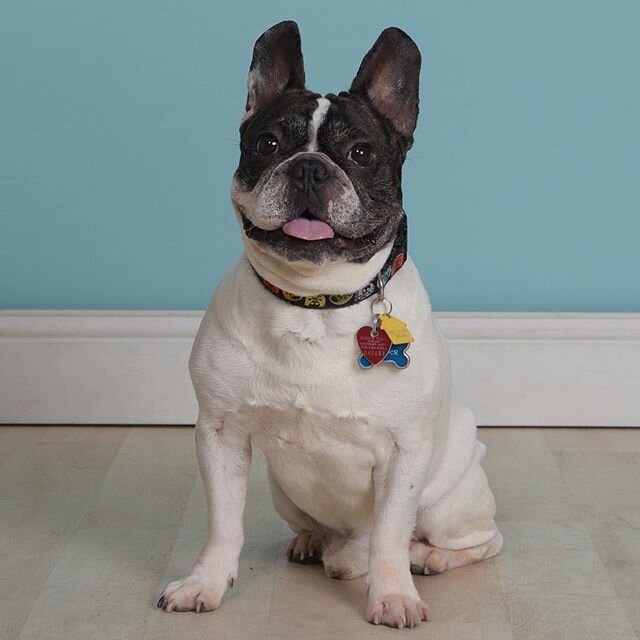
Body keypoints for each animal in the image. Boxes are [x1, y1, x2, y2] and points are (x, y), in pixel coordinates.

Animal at [158, 21, 502, 632]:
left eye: (361, 153)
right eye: (268, 144)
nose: (310, 166)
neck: (314, 301)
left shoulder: (404, 453)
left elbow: (389, 536)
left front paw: (394, 596)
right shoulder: (221, 434)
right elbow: (223, 525)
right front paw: (205, 584)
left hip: (451, 502)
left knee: (471, 541)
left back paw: (427, 558)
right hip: (283, 492)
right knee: (329, 532)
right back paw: (317, 543)